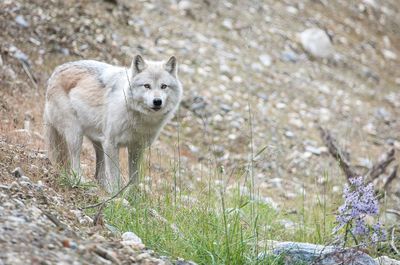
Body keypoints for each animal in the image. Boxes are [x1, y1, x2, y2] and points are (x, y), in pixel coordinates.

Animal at [43, 55, 183, 192]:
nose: (157, 101)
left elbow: (134, 179)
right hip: (76, 135)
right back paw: (80, 182)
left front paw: (132, 196)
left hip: (99, 142)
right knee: (74, 162)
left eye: (163, 86)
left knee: (98, 175)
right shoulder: (111, 144)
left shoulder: (136, 148)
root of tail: (56, 72)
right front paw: (117, 196)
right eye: (147, 86)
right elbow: (115, 176)